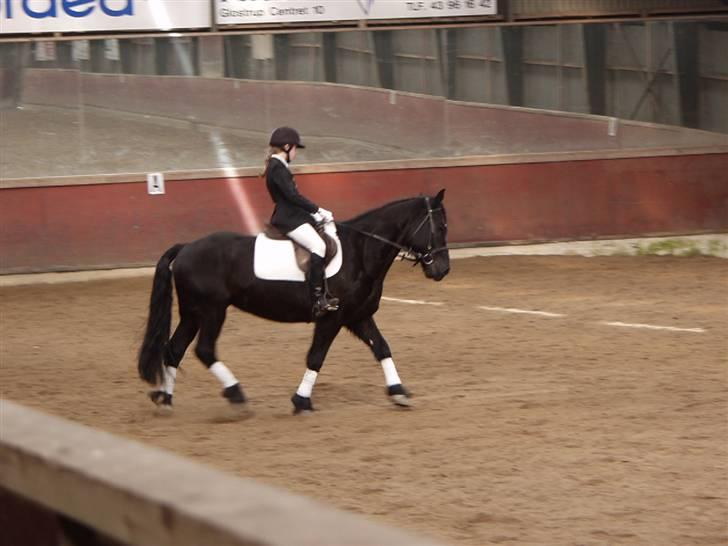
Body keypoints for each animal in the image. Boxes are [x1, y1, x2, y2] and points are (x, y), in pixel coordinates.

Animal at [136, 189, 450, 410]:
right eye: (441, 227)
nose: (443, 270)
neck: (360, 252)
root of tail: (186, 247)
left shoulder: (358, 315)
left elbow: (382, 348)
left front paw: (398, 392)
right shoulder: (331, 317)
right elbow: (316, 356)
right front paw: (301, 400)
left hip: (193, 312)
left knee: (174, 350)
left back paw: (166, 399)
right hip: (212, 310)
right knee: (204, 350)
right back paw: (236, 394)